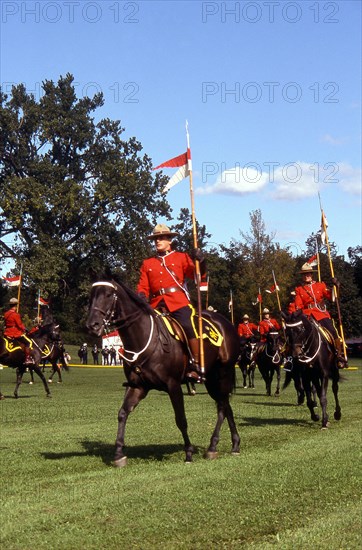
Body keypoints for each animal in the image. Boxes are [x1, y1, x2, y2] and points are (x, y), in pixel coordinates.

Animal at [86, 278, 242, 468]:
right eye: (91, 296)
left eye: (108, 295)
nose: (92, 325)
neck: (143, 338)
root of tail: (225, 322)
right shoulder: (137, 387)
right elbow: (122, 414)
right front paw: (119, 454)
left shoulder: (173, 385)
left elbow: (181, 419)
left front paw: (188, 453)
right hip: (212, 379)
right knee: (225, 405)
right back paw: (231, 444)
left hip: (222, 374)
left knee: (222, 406)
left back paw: (215, 446)